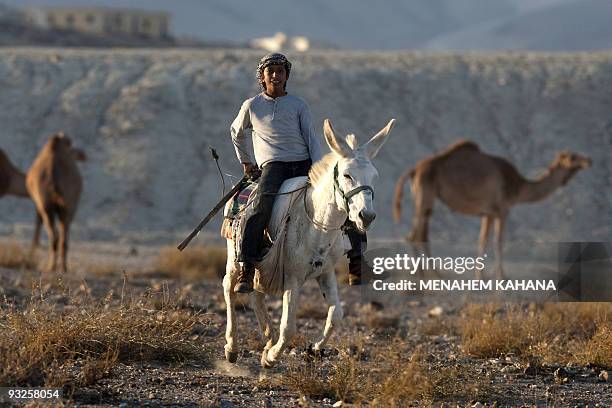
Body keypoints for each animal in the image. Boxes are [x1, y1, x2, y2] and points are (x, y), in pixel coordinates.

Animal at [26, 132, 85, 272]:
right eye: (75, 152)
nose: (83, 154)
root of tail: (53, 174)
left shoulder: (39, 203)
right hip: (65, 206)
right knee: (61, 236)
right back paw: (60, 267)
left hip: (49, 205)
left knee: (55, 235)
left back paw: (53, 266)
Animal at [394, 139, 592, 278]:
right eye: (573, 157)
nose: (589, 160)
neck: (518, 186)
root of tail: (414, 169)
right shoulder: (503, 210)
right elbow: (498, 241)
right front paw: (502, 277)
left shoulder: (488, 213)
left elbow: (482, 240)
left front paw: (480, 277)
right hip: (426, 195)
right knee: (416, 233)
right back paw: (427, 275)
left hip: (424, 198)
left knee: (418, 232)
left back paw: (425, 275)